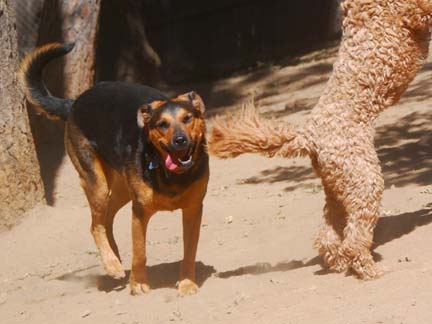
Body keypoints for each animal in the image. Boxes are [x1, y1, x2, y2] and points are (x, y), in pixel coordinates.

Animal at [19, 43, 208, 296]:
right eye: (162, 125)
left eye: (188, 118)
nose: (180, 140)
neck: (172, 176)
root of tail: (75, 102)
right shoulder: (139, 211)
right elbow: (139, 252)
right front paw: (138, 284)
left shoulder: (193, 209)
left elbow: (189, 250)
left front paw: (187, 282)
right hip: (97, 184)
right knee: (94, 225)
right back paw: (112, 265)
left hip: (122, 190)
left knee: (105, 219)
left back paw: (114, 257)